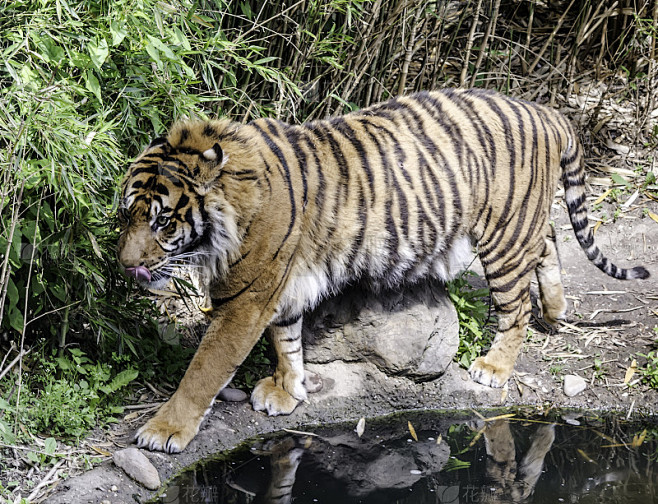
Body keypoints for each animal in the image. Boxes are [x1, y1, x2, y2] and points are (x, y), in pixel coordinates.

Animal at [116, 87, 644, 452]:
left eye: (162, 221)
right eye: (127, 215)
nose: (126, 266)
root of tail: (546, 111)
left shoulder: (246, 298)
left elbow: (204, 370)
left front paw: (163, 430)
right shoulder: (280, 287)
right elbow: (287, 340)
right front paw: (288, 390)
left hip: (504, 235)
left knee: (515, 307)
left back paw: (494, 366)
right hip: (523, 225)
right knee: (550, 242)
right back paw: (554, 312)